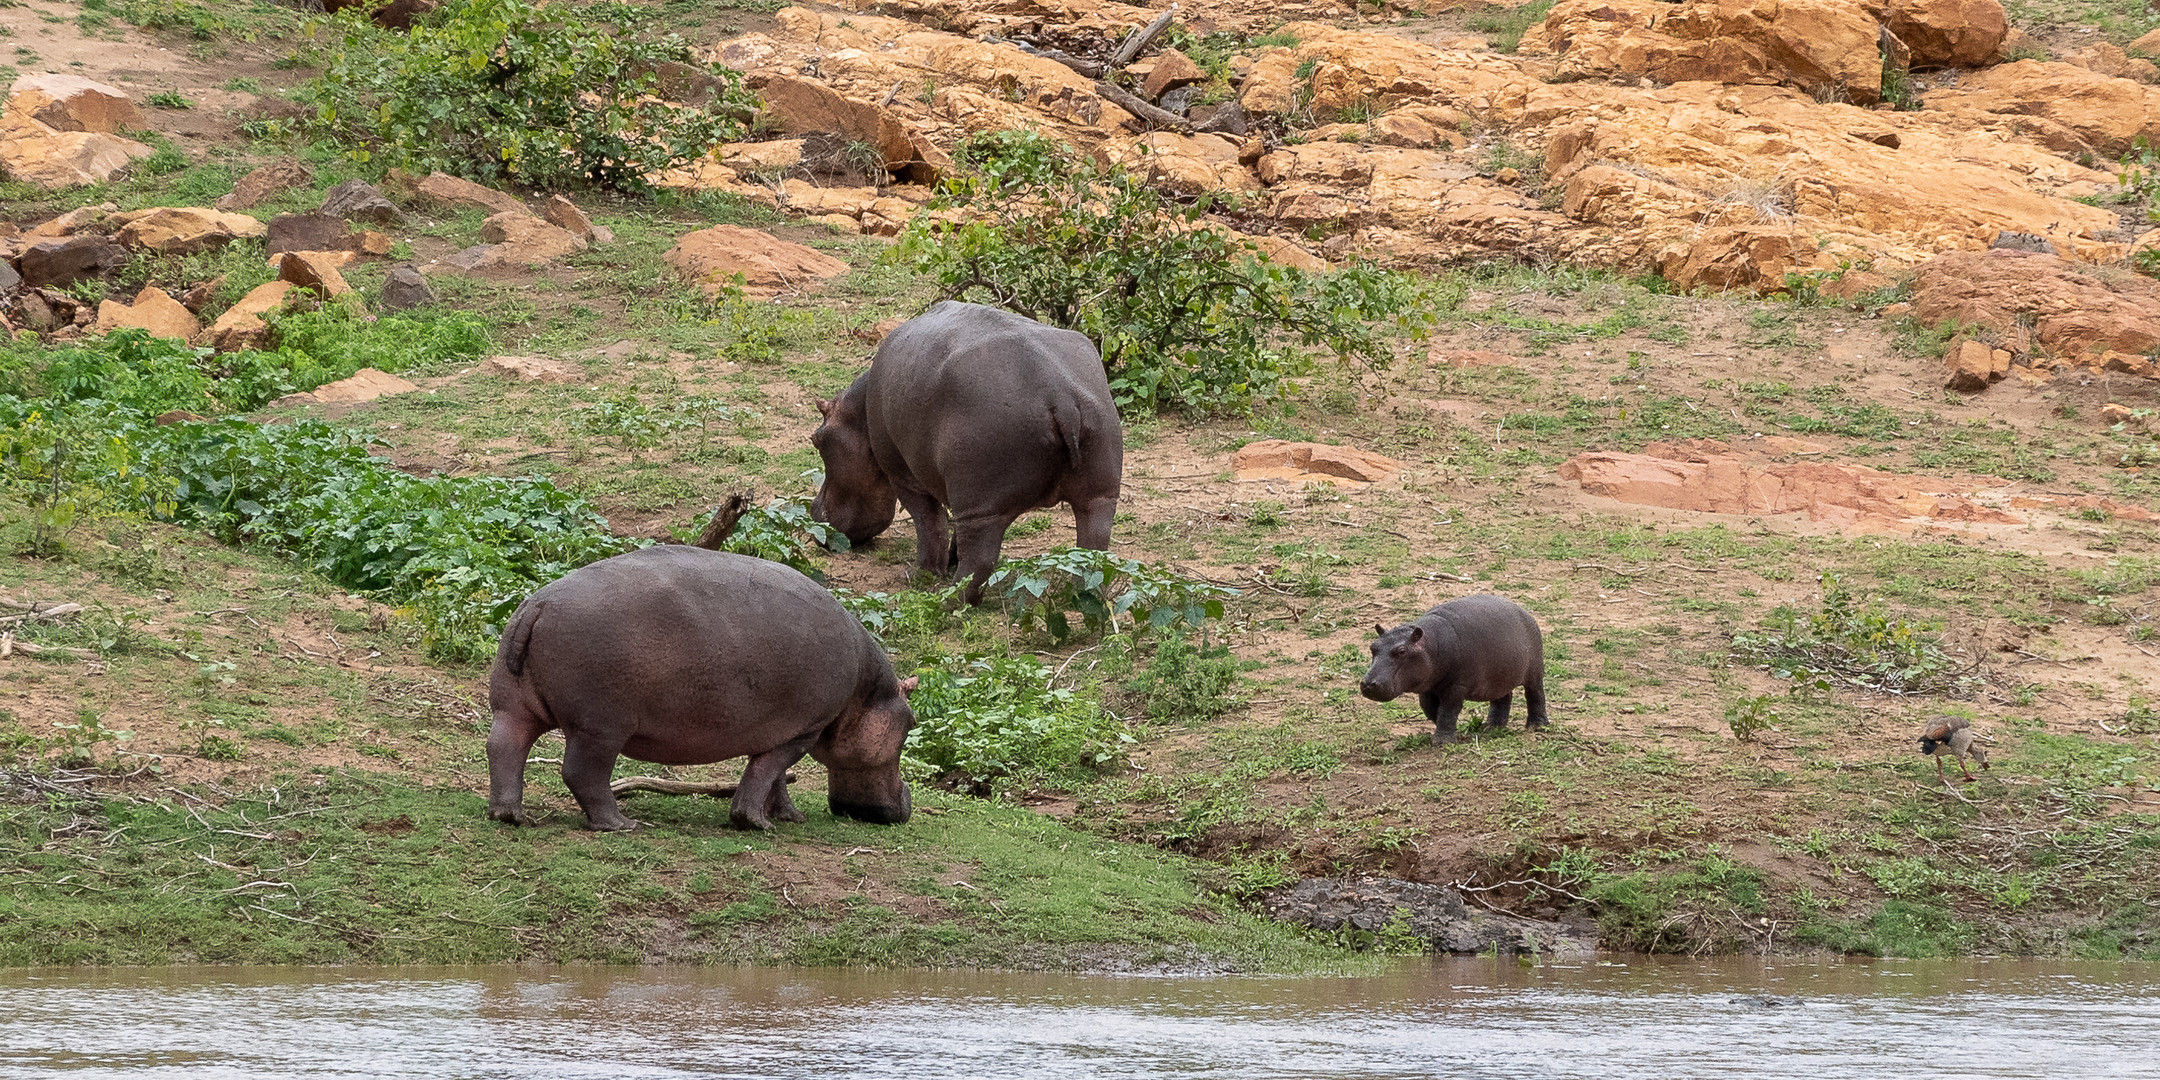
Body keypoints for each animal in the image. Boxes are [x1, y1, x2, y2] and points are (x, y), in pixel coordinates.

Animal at [486, 548, 915, 833]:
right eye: (911, 725)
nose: (906, 804)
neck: (866, 695)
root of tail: (538, 604)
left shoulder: (781, 727)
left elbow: (773, 776)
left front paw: (789, 817)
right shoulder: (805, 729)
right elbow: (767, 771)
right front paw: (756, 824)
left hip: (513, 706)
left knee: (504, 748)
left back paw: (509, 816)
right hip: (600, 727)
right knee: (582, 773)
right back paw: (624, 824)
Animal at [803, 300, 1123, 604]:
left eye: (816, 439)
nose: (814, 510)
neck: (857, 413)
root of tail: (1060, 395)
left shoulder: (904, 475)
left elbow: (930, 523)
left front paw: (925, 573)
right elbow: (952, 528)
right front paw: (948, 559)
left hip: (983, 503)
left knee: (979, 561)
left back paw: (947, 600)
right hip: (1099, 494)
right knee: (1094, 549)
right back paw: (1082, 595)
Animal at [1356, 596, 1546, 747]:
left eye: (1402, 651)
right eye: (1372, 647)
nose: (1368, 684)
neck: (1430, 644)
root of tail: (1524, 612)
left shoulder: (1457, 685)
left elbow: (1448, 709)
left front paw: (1442, 742)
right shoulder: (1428, 686)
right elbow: (1430, 709)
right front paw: (1453, 731)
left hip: (1534, 672)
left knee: (1535, 695)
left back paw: (1537, 727)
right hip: (1499, 676)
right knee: (1503, 698)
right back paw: (1492, 727)